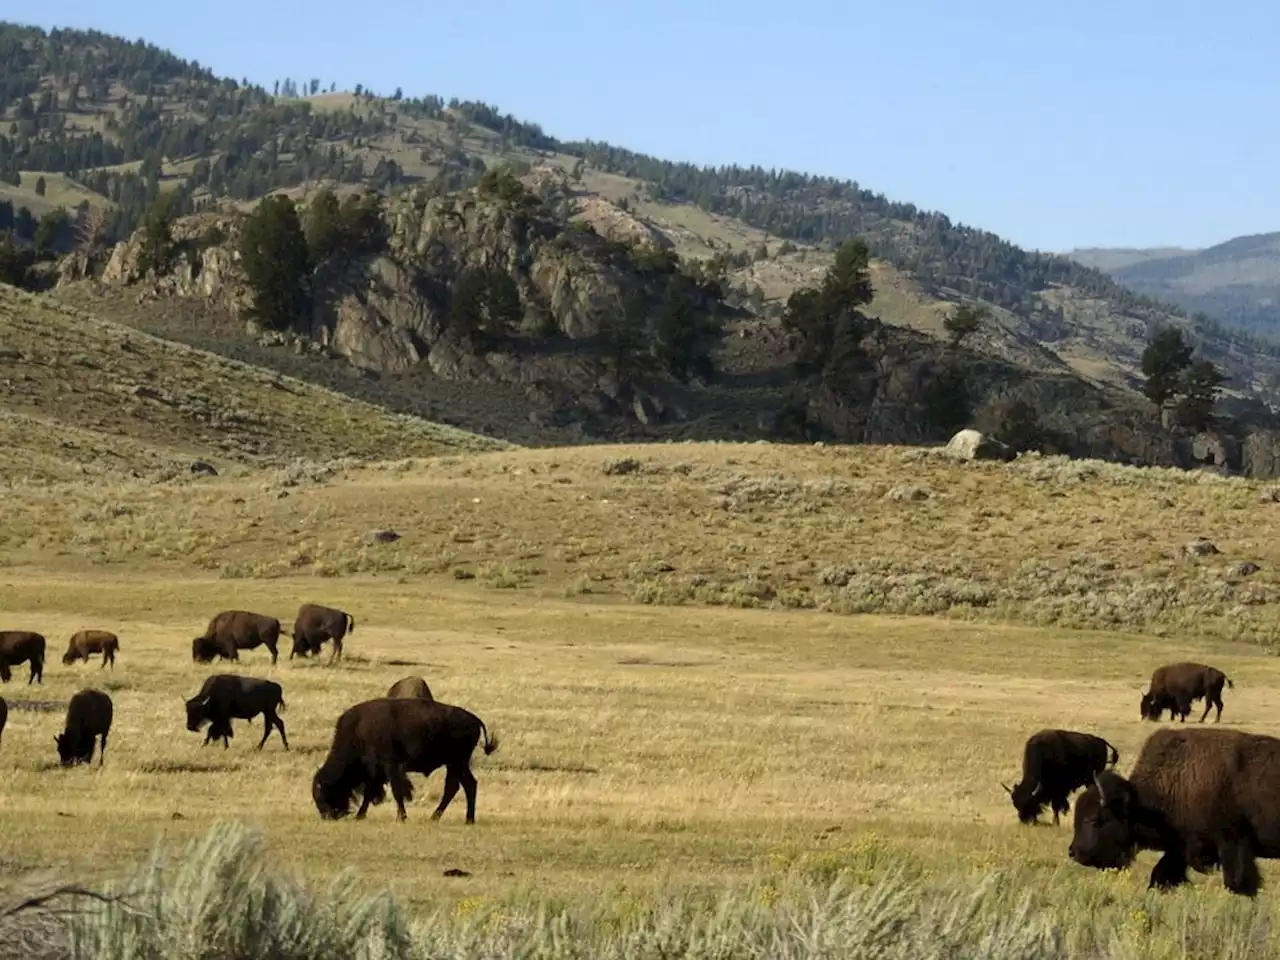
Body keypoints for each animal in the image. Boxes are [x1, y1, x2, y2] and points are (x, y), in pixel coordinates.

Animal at [312, 701, 501, 829]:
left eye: (322, 794)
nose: (327, 816)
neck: (358, 729)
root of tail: (474, 719)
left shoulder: (389, 766)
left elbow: (396, 791)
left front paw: (401, 818)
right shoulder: (376, 772)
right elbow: (370, 793)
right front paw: (360, 816)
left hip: (457, 762)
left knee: (464, 785)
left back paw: (463, 819)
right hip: (454, 764)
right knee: (459, 786)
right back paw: (443, 818)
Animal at [1064, 732, 1280, 901]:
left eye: (1093, 819)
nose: (1073, 852)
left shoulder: (1232, 844)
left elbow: (1238, 883)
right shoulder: (1180, 848)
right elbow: (1161, 874)